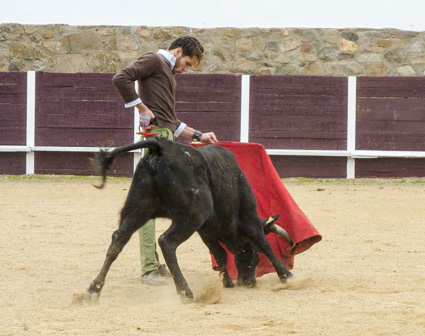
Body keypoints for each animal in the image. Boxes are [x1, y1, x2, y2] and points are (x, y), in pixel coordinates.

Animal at [85, 138, 294, 300]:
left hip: (138, 208)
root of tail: (161, 148)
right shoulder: (248, 217)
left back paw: (93, 290)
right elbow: (264, 243)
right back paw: (185, 292)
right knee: (166, 241)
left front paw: (226, 282)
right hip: (192, 215)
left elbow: (220, 254)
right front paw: (286, 275)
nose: (248, 282)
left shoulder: (206, 231)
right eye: (253, 252)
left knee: (119, 238)